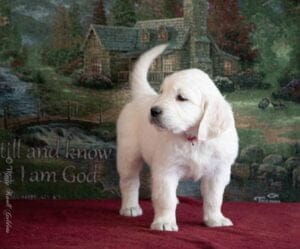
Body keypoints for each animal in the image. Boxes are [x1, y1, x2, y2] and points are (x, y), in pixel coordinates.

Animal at [116, 44, 238, 231]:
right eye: (161, 92)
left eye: (181, 98)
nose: (153, 111)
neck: (193, 138)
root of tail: (143, 96)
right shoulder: (166, 169)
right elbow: (165, 198)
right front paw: (164, 222)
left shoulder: (217, 171)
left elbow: (214, 198)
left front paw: (215, 219)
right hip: (128, 154)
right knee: (129, 181)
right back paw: (130, 207)